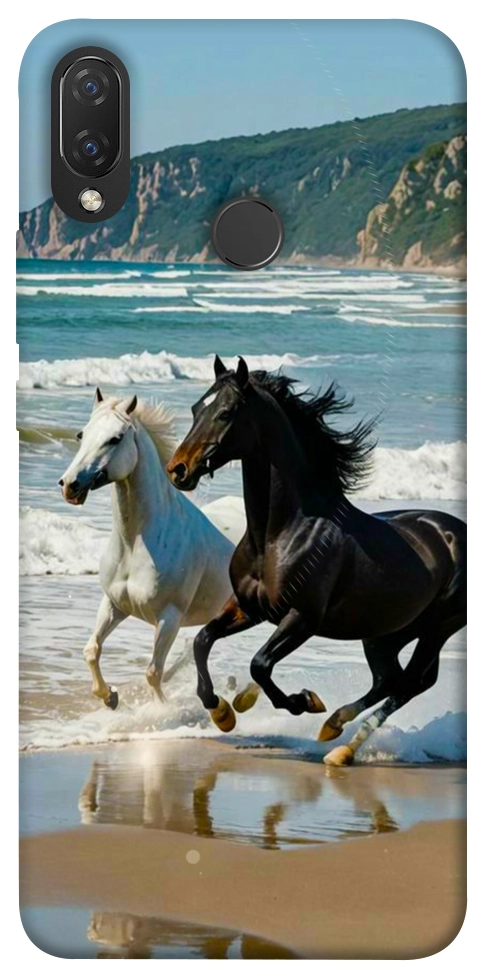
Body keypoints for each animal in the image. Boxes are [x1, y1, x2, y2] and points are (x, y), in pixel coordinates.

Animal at [59, 388, 234, 709]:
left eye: (115, 438)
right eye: (81, 434)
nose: (69, 485)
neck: (135, 544)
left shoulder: (169, 617)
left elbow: (153, 672)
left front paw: (161, 711)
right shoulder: (114, 604)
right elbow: (91, 650)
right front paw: (110, 697)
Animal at [166, 356, 466, 765]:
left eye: (226, 413)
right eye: (197, 408)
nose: (178, 469)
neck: (279, 534)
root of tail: (456, 532)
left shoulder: (302, 618)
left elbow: (260, 664)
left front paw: (303, 701)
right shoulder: (249, 608)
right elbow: (202, 640)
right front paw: (223, 712)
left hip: (437, 628)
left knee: (411, 683)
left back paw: (340, 746)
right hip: (386, 632)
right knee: (390, 679)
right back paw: (334, 729)